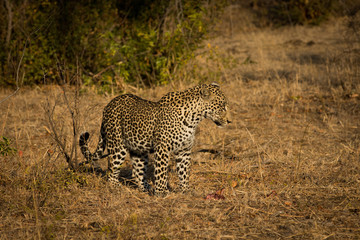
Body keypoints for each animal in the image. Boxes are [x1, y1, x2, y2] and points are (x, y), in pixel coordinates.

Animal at [79, 82, 231, 195]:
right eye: (222, 107)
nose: (229, 121)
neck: (194, 118)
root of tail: (108, 105)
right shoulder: (163, 147)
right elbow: (162, 171)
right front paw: (162, 192)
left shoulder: (184, 150)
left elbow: (184, 171)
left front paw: (185, 190)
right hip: (117, 146)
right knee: (111, 171)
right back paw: (116, 188)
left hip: (139, 150)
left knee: (137, 172)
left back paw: (147, 189)